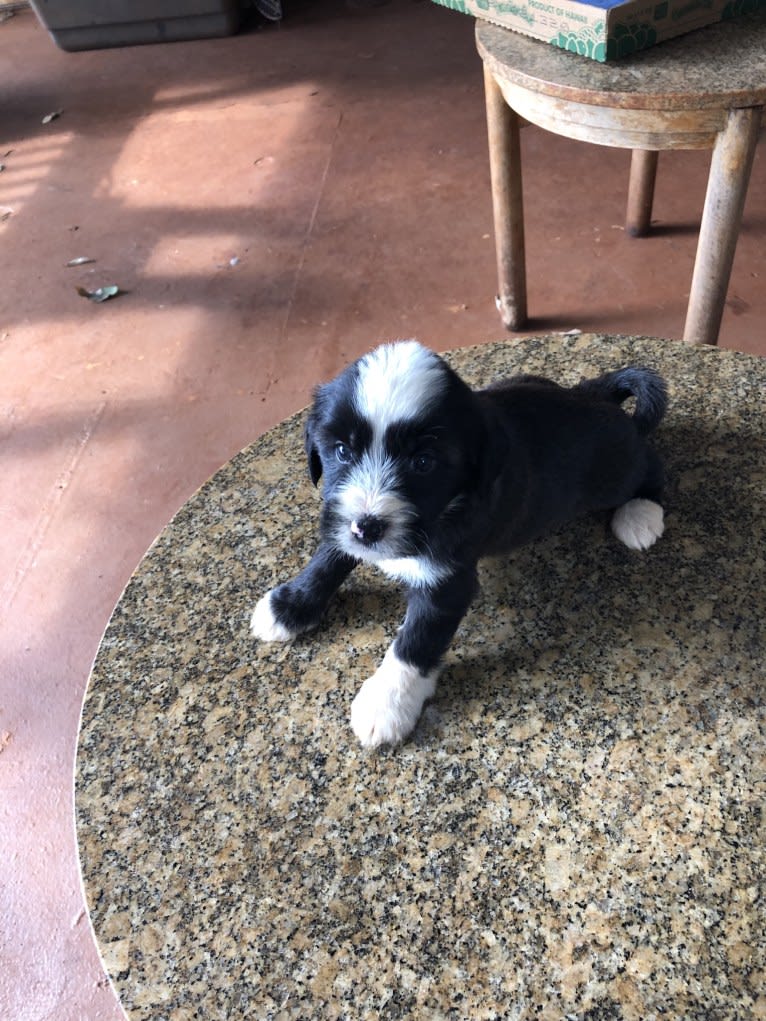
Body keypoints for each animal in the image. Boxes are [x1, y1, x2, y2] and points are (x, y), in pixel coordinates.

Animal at [250, 338, 665, 747]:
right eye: (341, 451)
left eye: (422, 462)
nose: (367, 528)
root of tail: (588, 393)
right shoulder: (340, 517)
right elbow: (327, 558)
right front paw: (289, 606)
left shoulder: (447, 581)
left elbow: (416, 641)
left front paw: (387, 703)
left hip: (614, 473)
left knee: (650, 462)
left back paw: (641, 512)